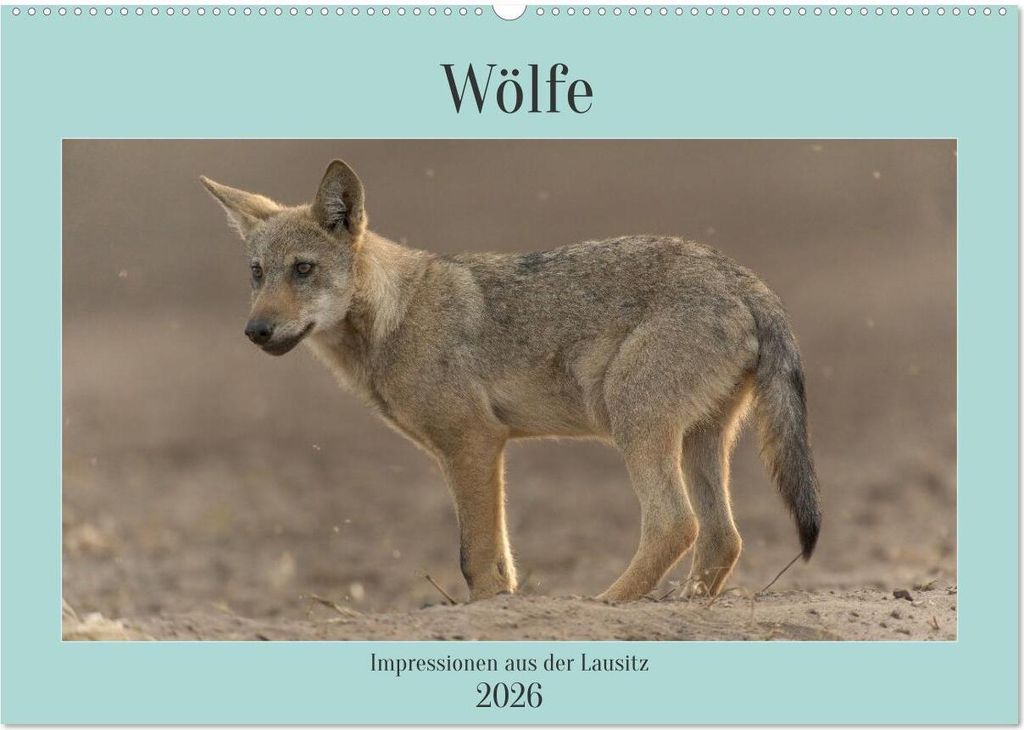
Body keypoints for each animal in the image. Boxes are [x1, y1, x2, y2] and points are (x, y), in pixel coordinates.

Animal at [201, 159, 821, 602]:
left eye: (303, 270)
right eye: (257, 274)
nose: (255, 330)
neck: (396, 315)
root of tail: (744, 278)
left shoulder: (474, 443)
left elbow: (474, 557)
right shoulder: (474, 451)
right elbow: (498, 560)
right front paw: (504, 606)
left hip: (635, 422)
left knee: (676, 525)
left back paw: (603, 604)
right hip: (700, 439)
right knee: (722, 539)